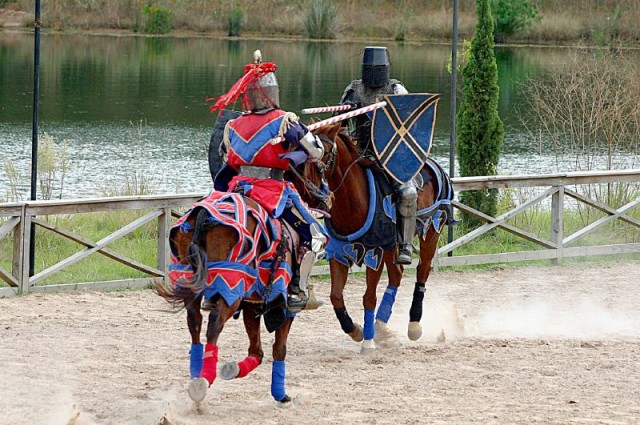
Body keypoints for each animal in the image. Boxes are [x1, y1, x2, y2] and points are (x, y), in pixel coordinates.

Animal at [156, 190, 296, 402]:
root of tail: (203, 215)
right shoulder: (282, 300)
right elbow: (279, 348)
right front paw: (280, 394)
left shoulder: (252, 302)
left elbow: (257, 351)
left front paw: (234, 369)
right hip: (231, 286)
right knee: (215, 323)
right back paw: (205, 379)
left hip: (188, 278)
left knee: (194, 321)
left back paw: (196, 375)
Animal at [296, 124, 456, 352]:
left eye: (323, 153)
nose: (308, 193)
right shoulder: (339, 253)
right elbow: (336, 296)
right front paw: (356, 330)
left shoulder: (375, 252)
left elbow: (369, 298)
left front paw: (368, 343)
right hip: (392, 245)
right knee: (397, 275)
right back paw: (381, 327)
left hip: (432, 230)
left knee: (422, 271)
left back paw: (413, 325)